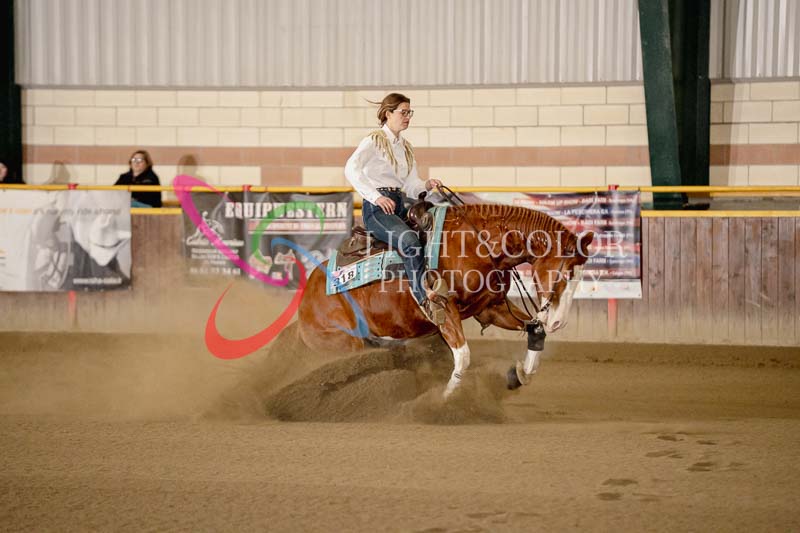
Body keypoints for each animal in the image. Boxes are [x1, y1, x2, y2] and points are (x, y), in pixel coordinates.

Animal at [297, 203, 594, 396]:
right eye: (566, 273)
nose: (558, 322)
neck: (475, 244)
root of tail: (306, 300)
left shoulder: (491, 308)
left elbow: (535, 330)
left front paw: (520, 374)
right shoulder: (444, 308)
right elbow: (463, 356)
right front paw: (447, 400)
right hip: (344, 343)